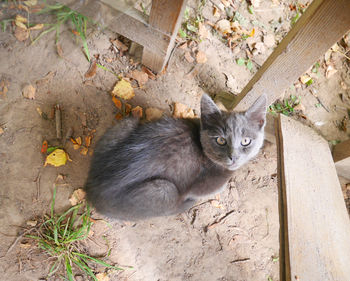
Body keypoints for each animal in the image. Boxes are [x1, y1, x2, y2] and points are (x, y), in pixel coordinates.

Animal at [84, 93, 266, 220]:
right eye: (220, 140)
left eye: (245, 141)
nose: (233, 157)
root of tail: (92, 190)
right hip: (166, 189)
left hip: (126, 123)